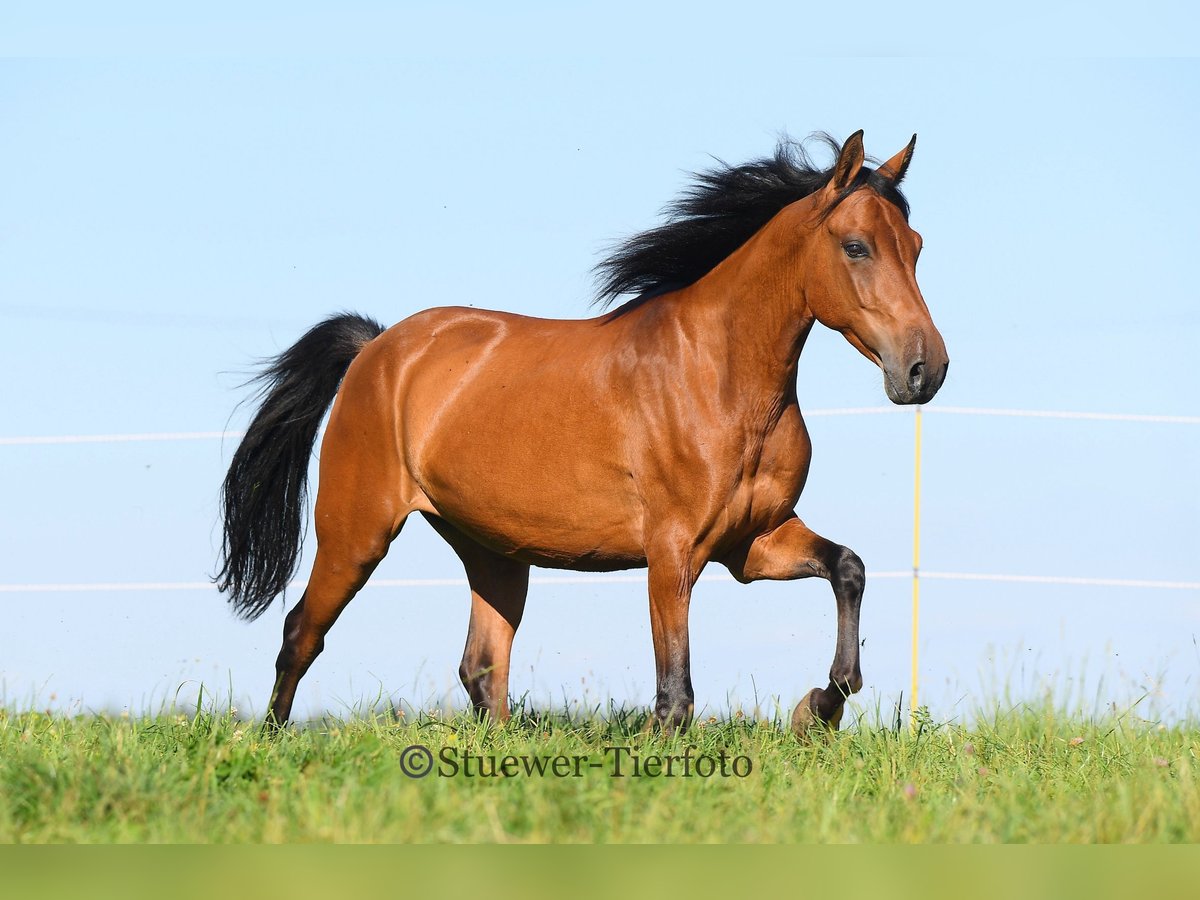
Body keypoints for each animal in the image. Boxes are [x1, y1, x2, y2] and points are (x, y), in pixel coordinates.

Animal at [213, 133, 945, 739]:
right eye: (856, 247)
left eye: (915, 248)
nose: (924, 369)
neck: (720, 378)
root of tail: (378, 348)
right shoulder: (674, 551)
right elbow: (675, 694)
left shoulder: (752, 543)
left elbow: (848, 567)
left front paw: (822, 705)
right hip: (356, 531)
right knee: (301, 633)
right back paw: (269, 743)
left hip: (492, 550)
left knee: (483, 666)